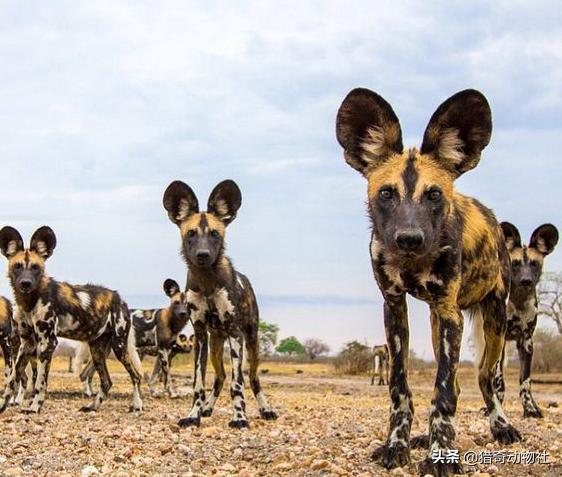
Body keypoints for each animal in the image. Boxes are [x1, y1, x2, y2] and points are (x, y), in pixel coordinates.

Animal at [0, 225, 142, 410]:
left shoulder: (48, 342)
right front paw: (3, 405)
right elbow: (12, 379)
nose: (26, 283)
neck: (29, 301)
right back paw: (92, 407)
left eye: (35, 267)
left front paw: (35, 407)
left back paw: (137, 405)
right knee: (106, 382)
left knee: (136, 377)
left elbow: (40, 383)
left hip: (119, 346)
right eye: (17, 266)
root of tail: (121, 299)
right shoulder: (27, 344)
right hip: (97, 351)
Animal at [162, 178, 276, 428]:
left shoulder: (235, 334)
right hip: (215, 345)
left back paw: (266, 410)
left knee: (253, 378)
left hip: (251, 342)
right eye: (191, 233)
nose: (203, 254)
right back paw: (207, 408)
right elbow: (198, 383)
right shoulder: (200, 337)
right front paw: (193, 414)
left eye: (215, 233)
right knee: (220, 377)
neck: (207, 282)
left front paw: (240, 418)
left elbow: (238, 383)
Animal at [334, 88, 520, 472]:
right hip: (438, 325)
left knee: (486, 379)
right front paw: (398, 444)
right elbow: (400, 388)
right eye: (386, 193)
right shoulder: (394, 308)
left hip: (493, 321)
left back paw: (501, 426)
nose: (408, 238)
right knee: (462, 384)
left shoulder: (451, 313)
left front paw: (440, 455)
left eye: (434, 195)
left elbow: (443, 392)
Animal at [492, 221, 552, 414]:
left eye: (534, 264)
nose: (526, 281)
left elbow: (525, 381)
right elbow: (498, 380)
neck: (518, 303)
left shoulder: (526, 342)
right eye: (516, 264)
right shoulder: (501, 341)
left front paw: (530, 408)